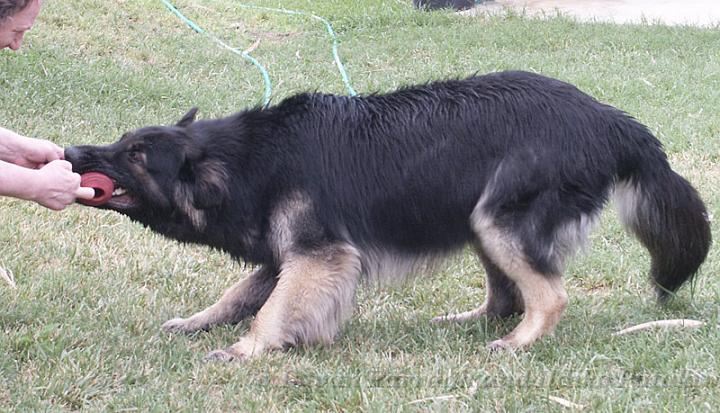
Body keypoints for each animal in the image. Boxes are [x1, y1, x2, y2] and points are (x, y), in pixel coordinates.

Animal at [64, 71, 712, 360]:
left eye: (136, 155)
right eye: (123, 141)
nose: (69, 153)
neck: (248, 160)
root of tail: (614, 122)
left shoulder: (321, 255)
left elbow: (270, 312)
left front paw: (248, 351)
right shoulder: (288, 255)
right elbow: (238, 295)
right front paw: (200, 323)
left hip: (500, 220)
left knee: (548, 297)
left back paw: (517, 344)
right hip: (478, 222)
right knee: (507, 295)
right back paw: (471, 323)